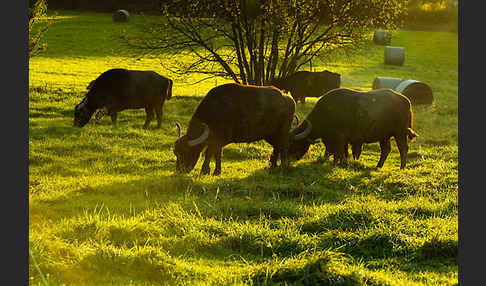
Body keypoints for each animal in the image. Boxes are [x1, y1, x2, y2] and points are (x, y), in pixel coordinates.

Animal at [288, 88, 418, 169]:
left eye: (295, 143)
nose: (290, 158)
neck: (327, 112)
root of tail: (406, 101)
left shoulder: (340, 138)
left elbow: (339, 152)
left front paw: (336, 163)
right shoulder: (334, 139)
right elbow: (335, 151)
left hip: (400, 133)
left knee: (403, 148)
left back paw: (402, 167)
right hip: (384, 136)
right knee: (386, 149)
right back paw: (378, 166)